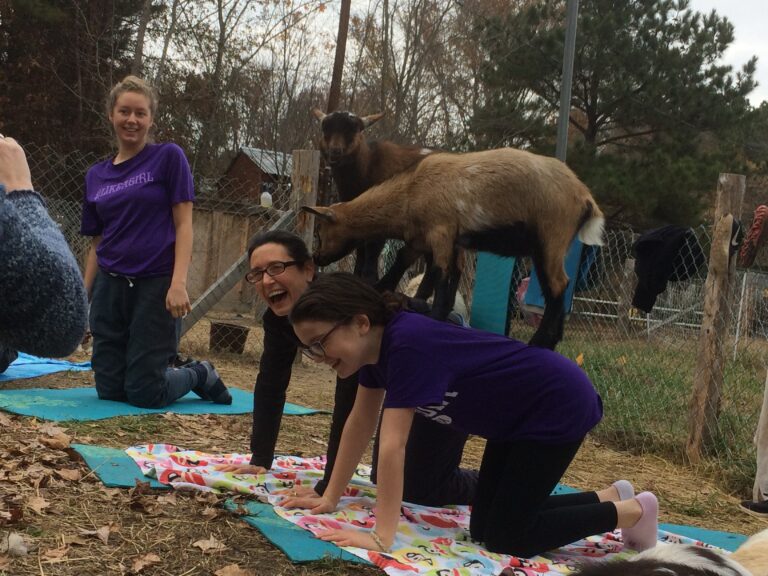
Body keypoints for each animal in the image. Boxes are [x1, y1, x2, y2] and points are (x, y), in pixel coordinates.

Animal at [304, 146, 604, 348]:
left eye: (320, 231)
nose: (317, 257)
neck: (409, 192)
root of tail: (587, 199)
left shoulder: (441, 232)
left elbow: (439, 273)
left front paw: (434, 314)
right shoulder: (437, 240)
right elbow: (428, 270)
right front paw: (397, 296)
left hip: (550, 238)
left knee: (558, 285)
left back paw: (542, 341)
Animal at [310, 107, 432, 284]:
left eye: (354, 129)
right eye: (325, 128)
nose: (335, 152)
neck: (368, 165)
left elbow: (373, 247)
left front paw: (369, 278)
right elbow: (361, 246)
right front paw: (357, 275)